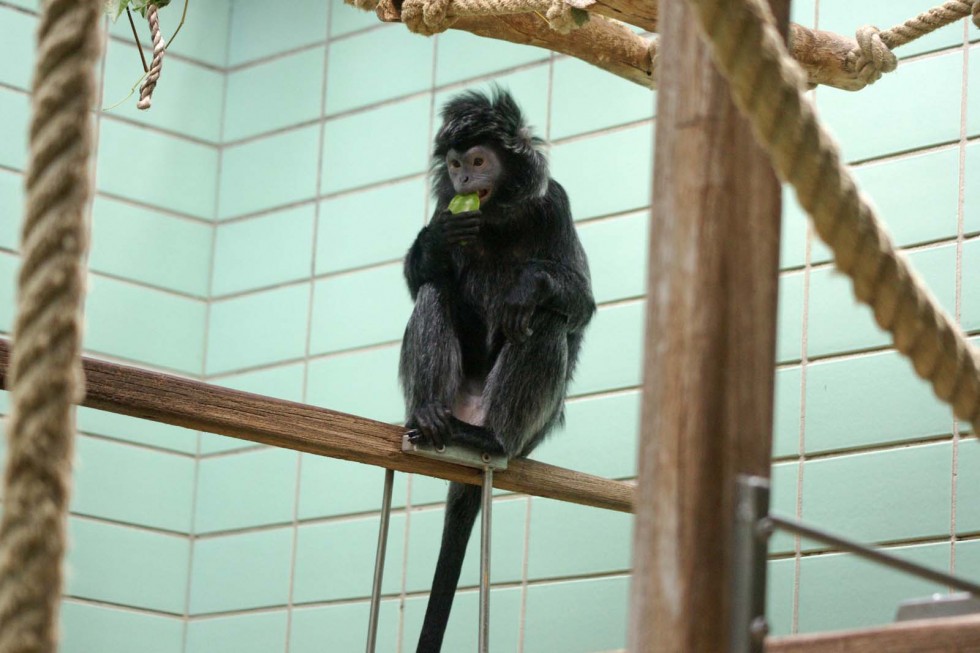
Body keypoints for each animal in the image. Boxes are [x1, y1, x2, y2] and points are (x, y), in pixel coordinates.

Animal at [398, 88, 596, 652]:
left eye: (480, 161)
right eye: (456, 165)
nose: (464, 180)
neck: (496, 220)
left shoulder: (556, 205)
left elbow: (579, 303)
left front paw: (531, 287)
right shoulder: (443, 209)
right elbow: (421, 275)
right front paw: (436, 244)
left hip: (527, 427)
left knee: (544, 323)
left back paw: (491, 438)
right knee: (434, 289)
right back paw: (431, 418)